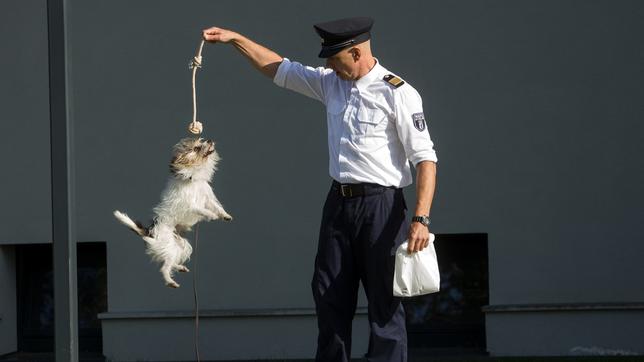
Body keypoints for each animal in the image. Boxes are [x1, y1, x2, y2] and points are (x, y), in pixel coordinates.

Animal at [114, 137, 233, 288]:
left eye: (201, 141)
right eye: (196, 148)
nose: (209, 140)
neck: (193, 179)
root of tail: (150, 233)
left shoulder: (207, 198)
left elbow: (216, 207)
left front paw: (225, 215)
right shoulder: (190, 206)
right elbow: (202, 210)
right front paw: (211, 215)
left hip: (181, 246)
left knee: (169, 262)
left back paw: (179, 267)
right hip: (169, 246)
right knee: (164, 267)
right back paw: (170, 281)